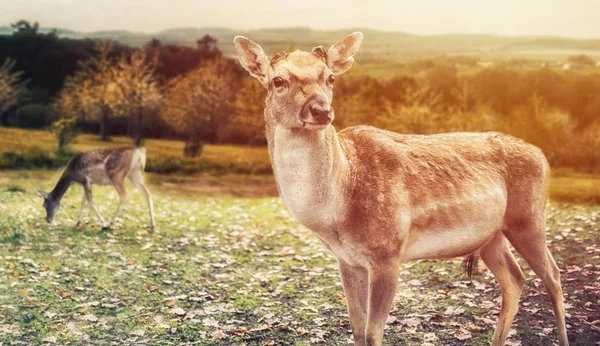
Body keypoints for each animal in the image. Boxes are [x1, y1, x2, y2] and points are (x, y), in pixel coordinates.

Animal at [233, 32, 568, 346]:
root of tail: (543, 157)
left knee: (553, 276)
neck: (338, 211)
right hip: (491, 235)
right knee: (514, 279)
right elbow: (356, 328)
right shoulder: (347, 260)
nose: (321, 110)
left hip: (529, 218)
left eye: (329, 77)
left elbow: (372, 333)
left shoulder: (388, 251)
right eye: (278, 80)